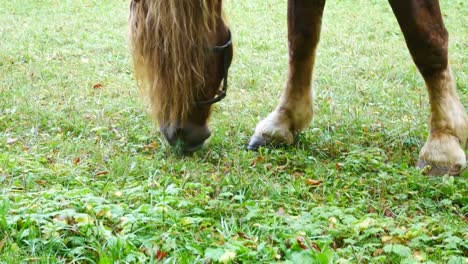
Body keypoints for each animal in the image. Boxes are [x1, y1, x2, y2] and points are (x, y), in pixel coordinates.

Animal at [129, 1, 468, 177]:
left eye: (173, 55)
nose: (174, 133)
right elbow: (301, 35)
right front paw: (283, 122)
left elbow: (426, 39)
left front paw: (443, 143)